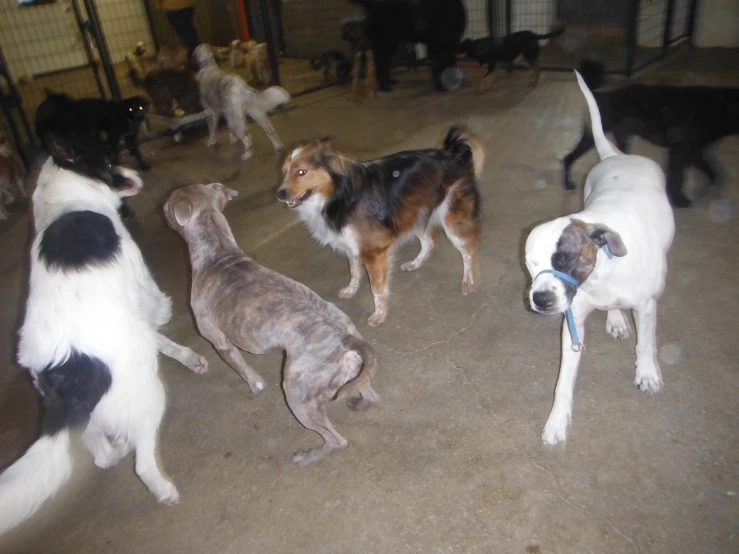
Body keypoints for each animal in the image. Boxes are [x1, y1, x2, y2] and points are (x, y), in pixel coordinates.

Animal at [0, 132, 208, 532]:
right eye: (110, 159)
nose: (138, 171)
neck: (64, 204)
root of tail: (70, 368)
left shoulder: (130, 318)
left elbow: (154, 336)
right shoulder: (140, 285)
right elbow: (157, 321)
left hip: (91, 417)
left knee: (100, 454)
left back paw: (118, 448)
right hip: (148, 396)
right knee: (142, 465)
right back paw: (163, 490)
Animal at [164, 183, 378, 464]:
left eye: (168, 203)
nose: (162, 207)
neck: (217, 254)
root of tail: (346, 340)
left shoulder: (218, 340)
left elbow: (243, 369)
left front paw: (255, 385)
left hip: (297, 394)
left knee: (335, 440)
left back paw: (307, 457)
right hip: (354, 372)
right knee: (369, 393)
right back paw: (359, 403)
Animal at [278, 127, 486, 326]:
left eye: (301, 172)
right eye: (284, 172)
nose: (280, 194)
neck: (338, 195)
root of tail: (452, 153)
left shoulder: (373, 251)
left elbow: (376, 288)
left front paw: (379, 315)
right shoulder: (351, 245)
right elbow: (354, 272)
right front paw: (351, 290)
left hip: (451, 218)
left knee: (468, 248)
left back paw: (469, 281)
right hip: (413, 214)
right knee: (429, 242)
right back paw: (415, 263)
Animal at [528, 70, 676, 444]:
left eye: (564, 257)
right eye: (530, 264)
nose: (540, 299)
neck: (600, 276)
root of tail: (618, 155)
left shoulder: (646, 306)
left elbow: (646, 344)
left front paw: (647, 373)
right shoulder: (573, 324)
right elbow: (563, 381)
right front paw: (557, 420)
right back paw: (615, 318)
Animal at [564, 58, 739, 206]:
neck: (718, 107)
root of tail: (601, 94)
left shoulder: (693, 151)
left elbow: (712, 171)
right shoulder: (681, 149)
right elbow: (677, 177)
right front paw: (679, 200)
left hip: (622, 137)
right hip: (593, 137)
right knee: (568, 157)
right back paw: (567, 183)